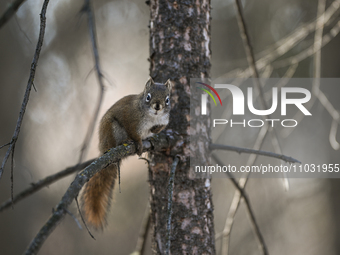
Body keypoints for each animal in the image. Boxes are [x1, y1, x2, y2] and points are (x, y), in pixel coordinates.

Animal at [80, 76, 171, 229]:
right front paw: (139, 143)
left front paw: (154, 131)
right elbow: (134, 133)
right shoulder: (130, 119)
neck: (152, 117)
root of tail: (103, 148)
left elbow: (160, 127)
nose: (157, 107)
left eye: (168, 99)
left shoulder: (164, 121)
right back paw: (126, 142)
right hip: (112, 130)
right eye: (148, 97)